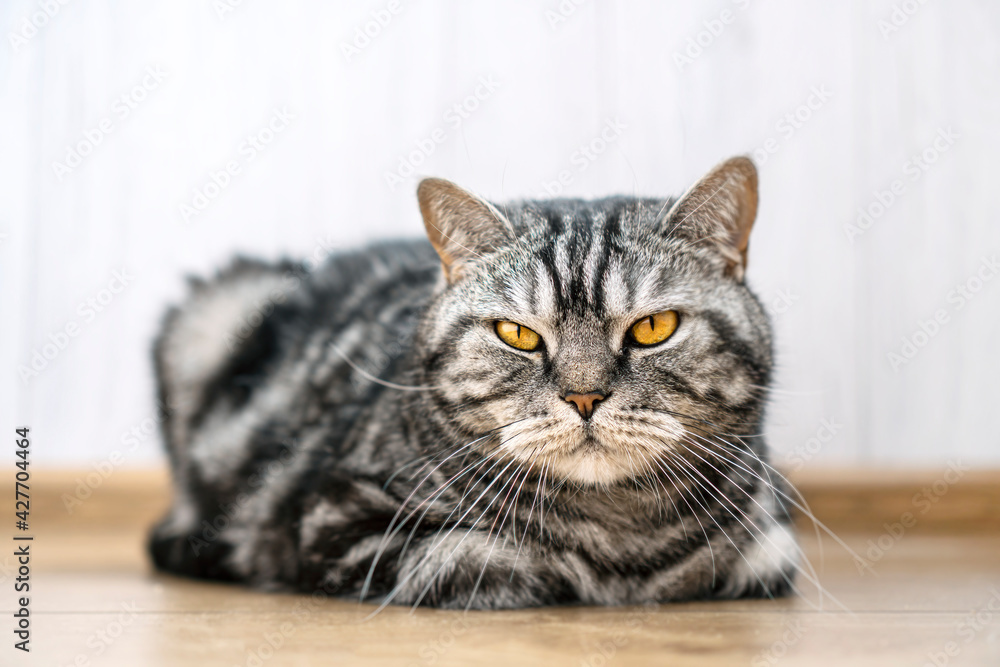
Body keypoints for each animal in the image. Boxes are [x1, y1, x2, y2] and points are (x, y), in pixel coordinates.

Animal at [148, 157, 800, 612]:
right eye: (518, 334)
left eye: (653, 328)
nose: (584, 396)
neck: (620, 538)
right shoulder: (340, 521)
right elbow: (488, 558)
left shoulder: (775, 541)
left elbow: (748, 563)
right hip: (215, 311)